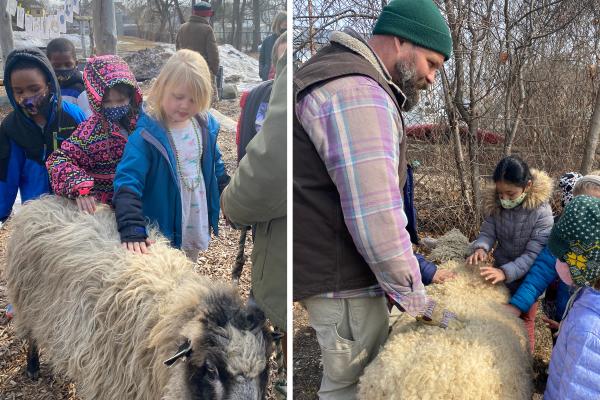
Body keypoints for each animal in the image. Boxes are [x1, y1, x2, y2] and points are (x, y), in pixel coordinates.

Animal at [4, 197, 272, 400]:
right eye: (211, 370)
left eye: (265, 369)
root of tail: (41, 202)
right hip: (28, 303)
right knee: (31, 336)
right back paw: (32, 367)